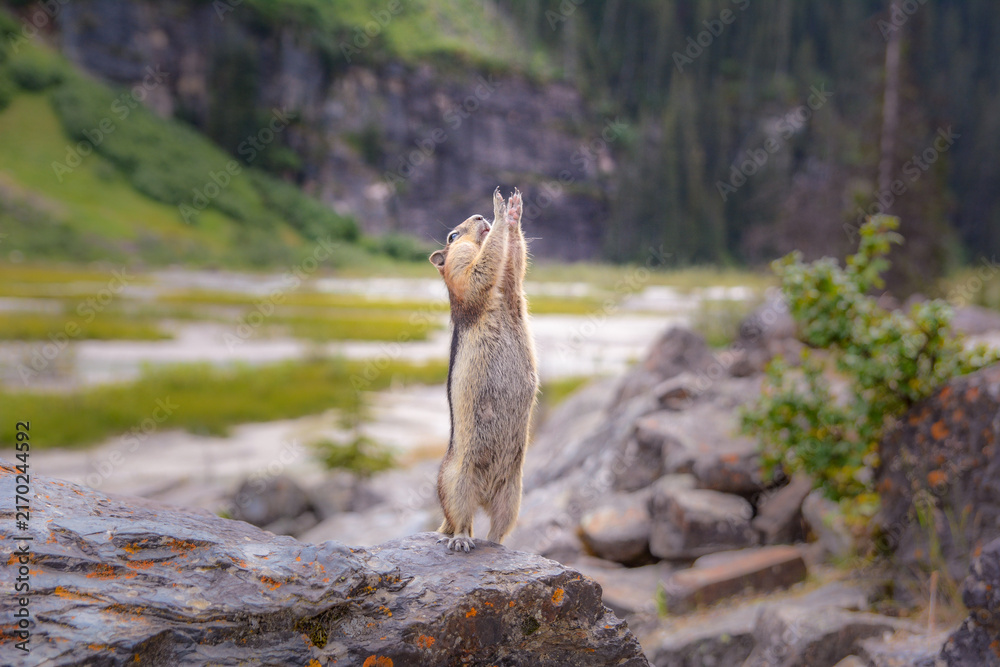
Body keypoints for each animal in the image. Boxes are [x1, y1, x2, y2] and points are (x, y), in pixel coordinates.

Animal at [428, 187, 538, 552]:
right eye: (452, 235)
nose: (480, 217)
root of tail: (486, 493)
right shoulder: (463, 264)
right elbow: (478, 270)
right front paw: (501, 212)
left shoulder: (510, 282)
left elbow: (513, 263)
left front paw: (513, 214)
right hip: (458, 481)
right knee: (462, 519)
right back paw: (460, 540)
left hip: (513, 494)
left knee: (498, 527)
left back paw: (501, 545)